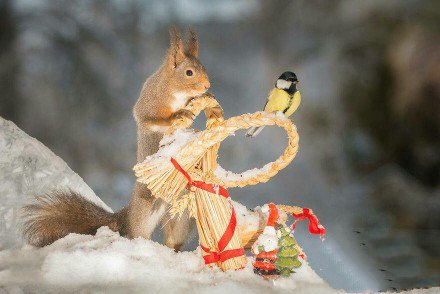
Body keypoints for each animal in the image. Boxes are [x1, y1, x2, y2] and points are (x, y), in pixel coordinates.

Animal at [22, 27, 211, 249]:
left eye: (203, 66)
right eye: (189, 72)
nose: (207, 85)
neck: (173, 89)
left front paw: (199, 102)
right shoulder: (149, 102)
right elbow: (148, 118)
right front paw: (177, 115)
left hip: (181, 213)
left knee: (173, 239)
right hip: (147, 204)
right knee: (136, 229)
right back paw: (142, 243)